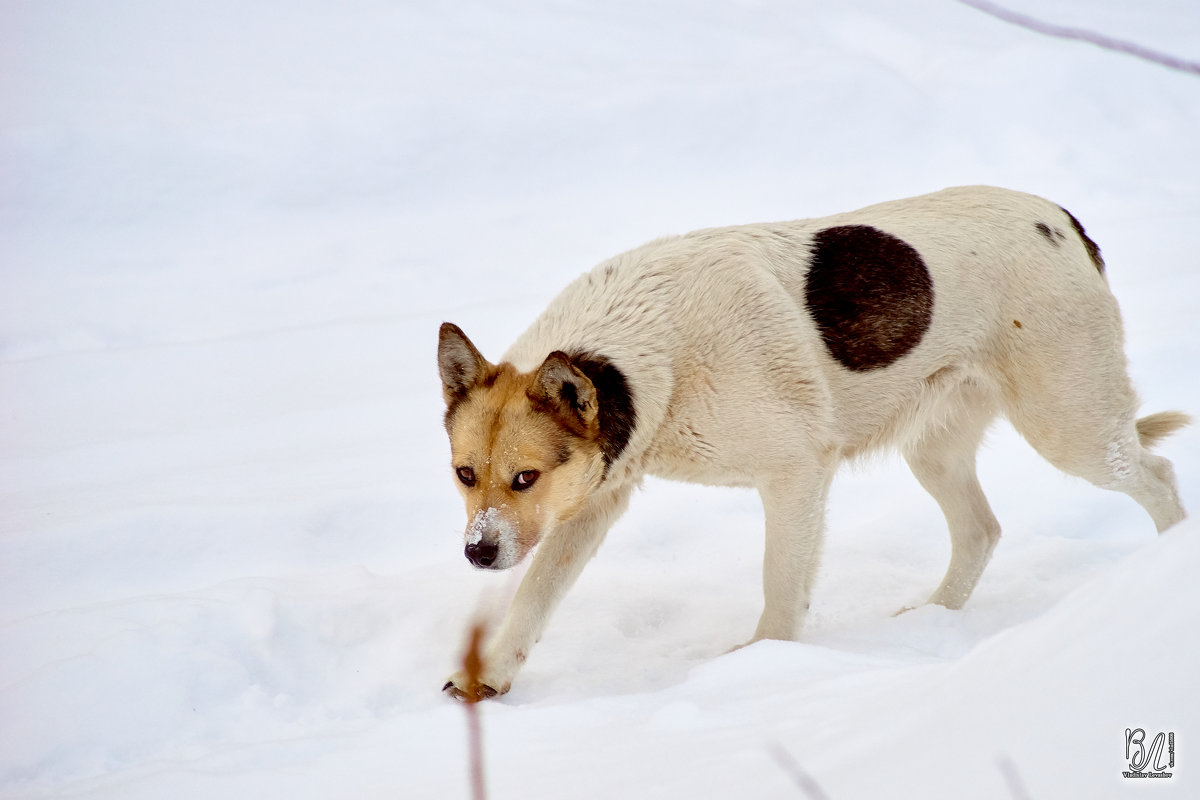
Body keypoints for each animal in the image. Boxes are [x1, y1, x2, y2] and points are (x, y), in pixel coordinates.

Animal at [436, 188, 1185, 700]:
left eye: (525, 478)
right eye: (465, 475)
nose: (476, 553)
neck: (651, 359)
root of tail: (1062, 218)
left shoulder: (795, 474)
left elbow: (779, 591)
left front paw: (762, 668)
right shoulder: (592, 502)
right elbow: (533, 598)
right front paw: (487, 680)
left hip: (1072, 428)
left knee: (1158, 477)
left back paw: (1168, 565)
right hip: (935, 450)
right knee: (981, 530)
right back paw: (931, 618)